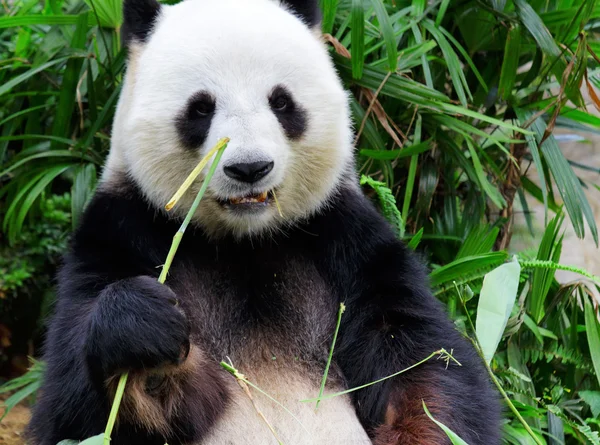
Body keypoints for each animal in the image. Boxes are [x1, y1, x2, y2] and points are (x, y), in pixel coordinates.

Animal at [27, 0, 502, 444]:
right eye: (200, 109)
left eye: (281, 102)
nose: (250, 167)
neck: (245, 241)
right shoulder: (122, 230)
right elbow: (77, 409)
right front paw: (145, 341)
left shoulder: (346, 239)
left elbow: (422, 365)